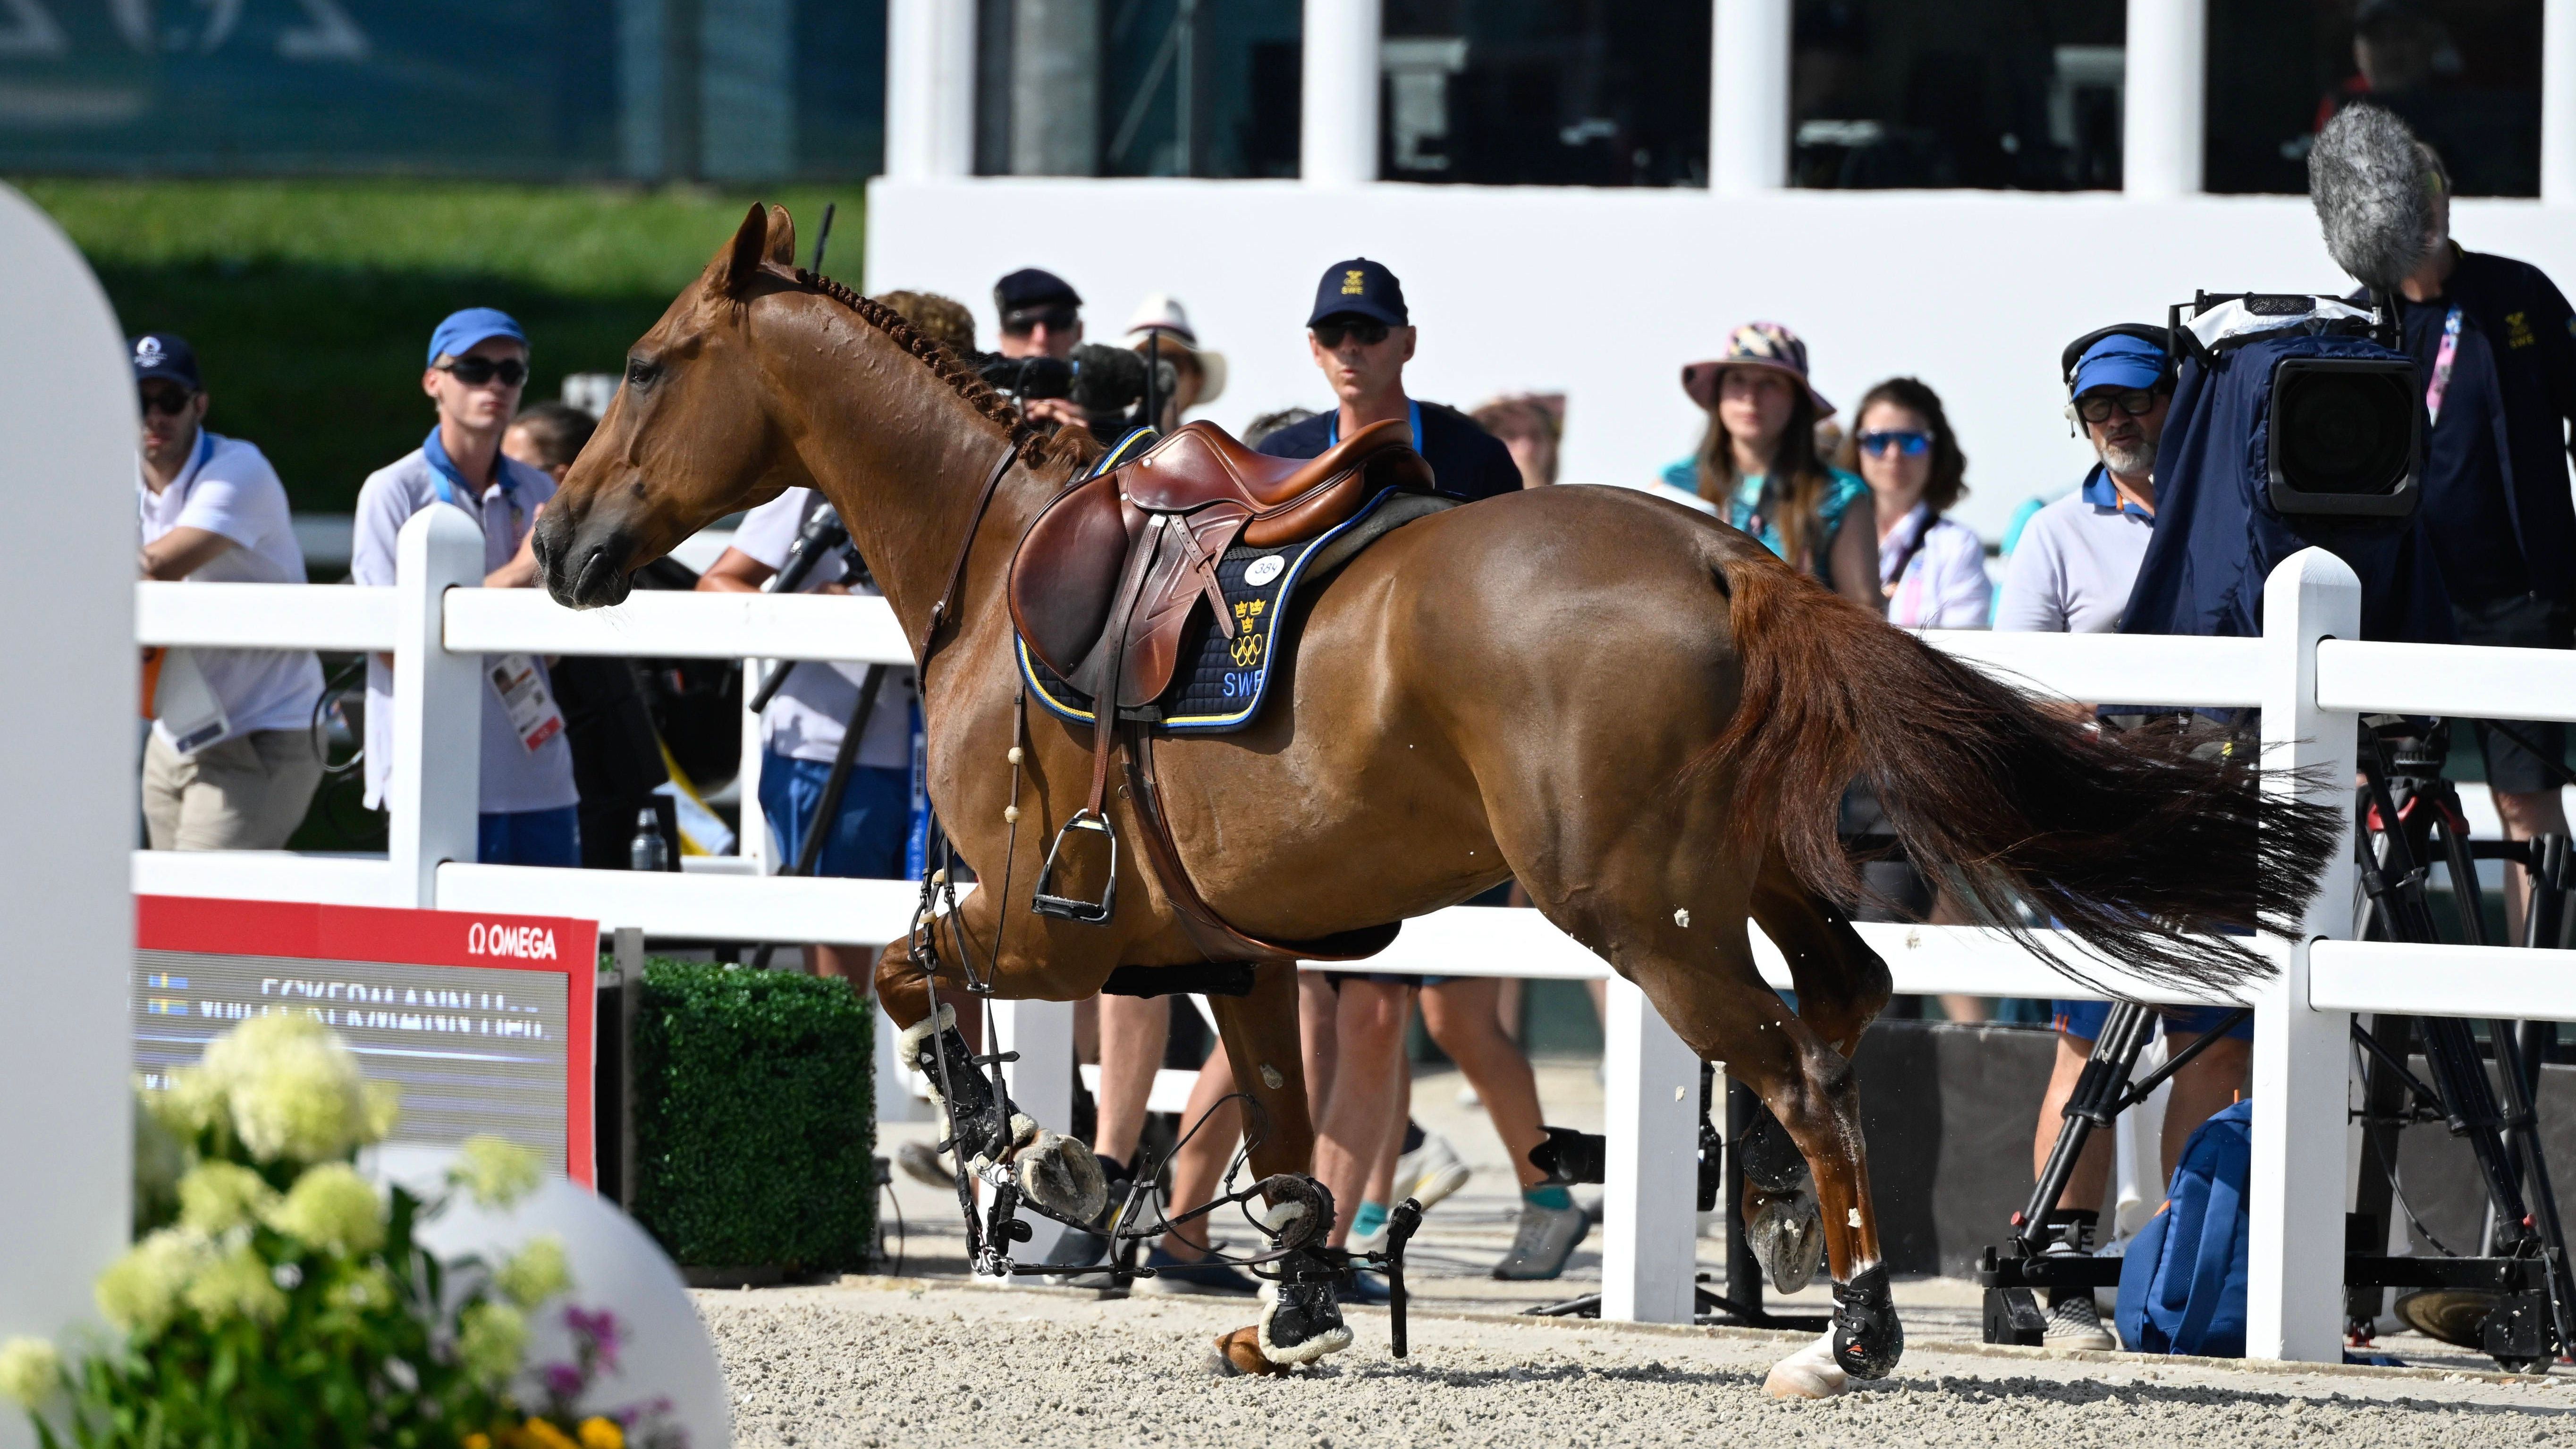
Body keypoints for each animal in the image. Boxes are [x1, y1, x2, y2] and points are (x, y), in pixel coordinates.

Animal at [538, 204, 2339, 1390]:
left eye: (644, 365)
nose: (558, 538)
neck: (998, 563)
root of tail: (1726, 552)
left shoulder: (1058, 926)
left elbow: (916, 977)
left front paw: (1021, 1153)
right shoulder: (1232, 953)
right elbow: (1274, 1132)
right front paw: (1292, 1305)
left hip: (1641, 918)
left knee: (1802, 1069)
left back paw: (1846, 1330)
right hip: (1744, 882)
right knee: (1841, 1006)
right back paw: (1782, 1233)